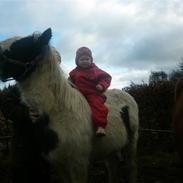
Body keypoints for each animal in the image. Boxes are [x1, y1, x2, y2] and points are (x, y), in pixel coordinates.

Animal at [0, 27, 139, 182]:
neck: (58, 112)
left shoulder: (78, 164)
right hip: (111, 147)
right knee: (112, 167)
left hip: (132, 142)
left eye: (21, 46)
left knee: (132, 167)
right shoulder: (59, 163)